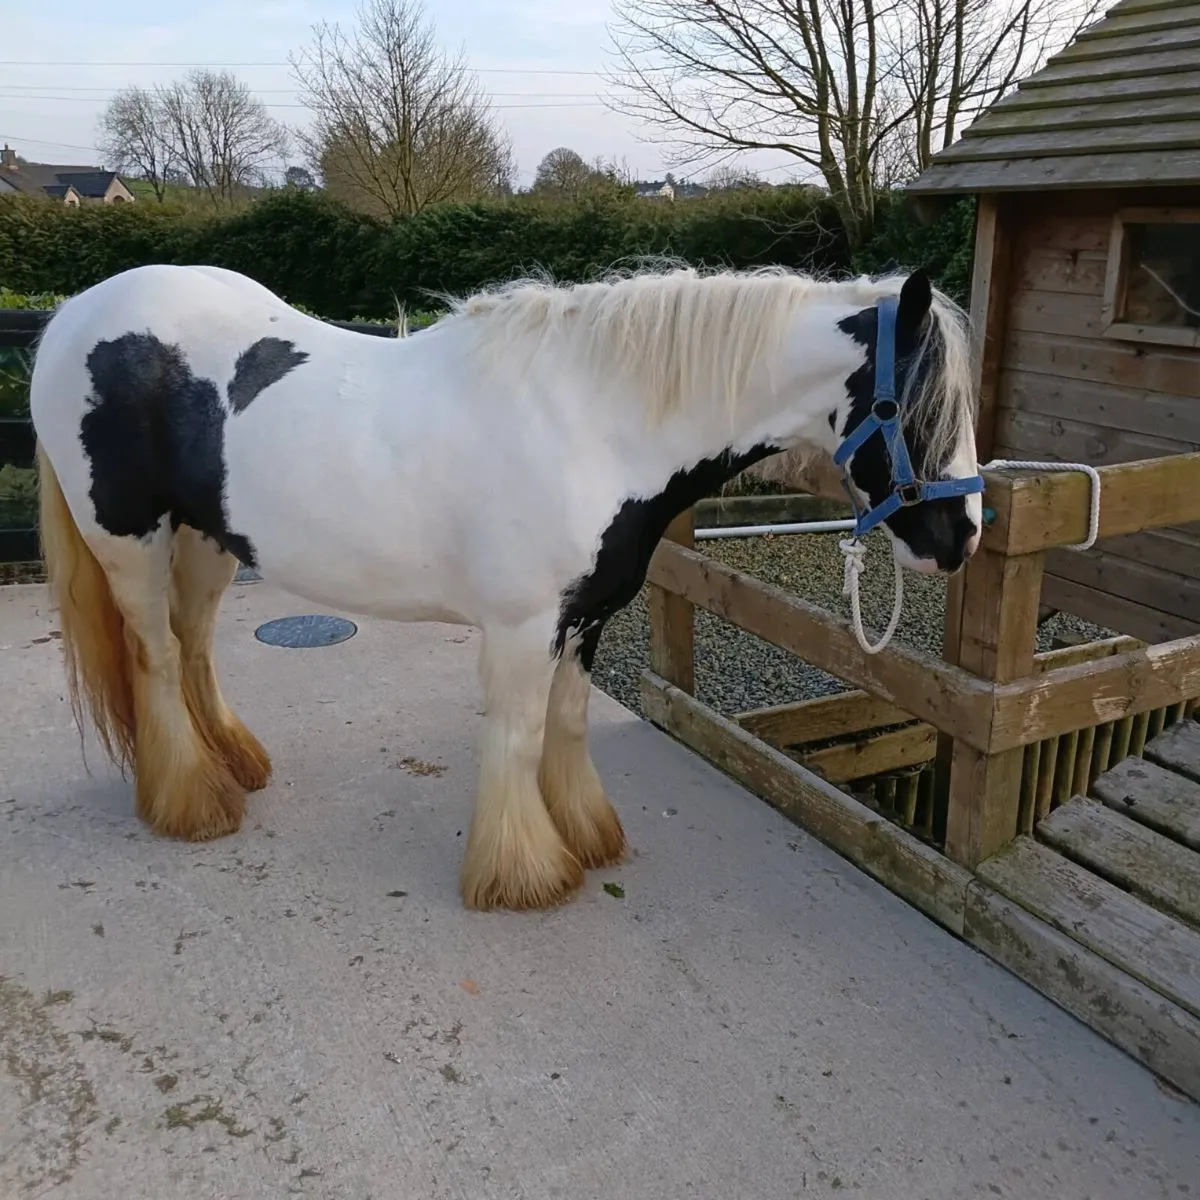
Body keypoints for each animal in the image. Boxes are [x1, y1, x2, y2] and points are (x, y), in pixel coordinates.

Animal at [29, 261, 982, 912]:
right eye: (912, 409)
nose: (963, 538)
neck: (596, 423)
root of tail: (74, 314)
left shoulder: (585, 618)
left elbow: (567, 724)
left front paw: (587, 834)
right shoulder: (524, 626)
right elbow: (518, 737)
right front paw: (523, 872)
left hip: (208, 541)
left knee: (193, 646)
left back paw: (233, 765)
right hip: (132, 544)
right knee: (155, 656)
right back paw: (193, 802)